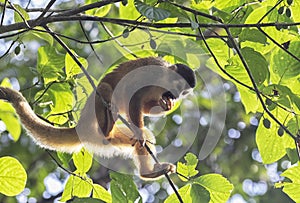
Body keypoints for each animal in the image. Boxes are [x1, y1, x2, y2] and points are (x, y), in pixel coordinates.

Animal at [0, 57, 196, 179]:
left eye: (183, 92)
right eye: (178, 85)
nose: (175, 96)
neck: (163, 79)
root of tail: (82, 125)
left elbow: (146, 106)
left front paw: (165, 105)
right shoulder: (155, 71)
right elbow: (134, 95)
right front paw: (140, 129)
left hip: (109, 139)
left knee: (142, 139)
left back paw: (148, 172)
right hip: (97, 118)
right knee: (105, 88)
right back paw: (108, 124)